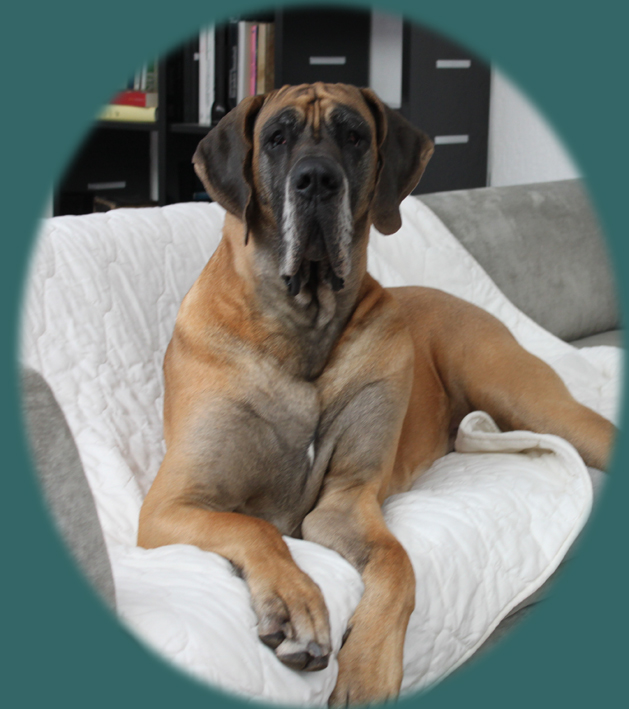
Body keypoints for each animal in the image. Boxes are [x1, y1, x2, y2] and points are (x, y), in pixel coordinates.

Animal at [138, 83, 615, 705]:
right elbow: (252, 526)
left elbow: (396, 560)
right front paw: (294, 603)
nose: (317, 180)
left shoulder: (346, 501)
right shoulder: (172, 503)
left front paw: (367, 664)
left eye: (354, 135)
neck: (303, 326)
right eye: (277, 137)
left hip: (533, 401)